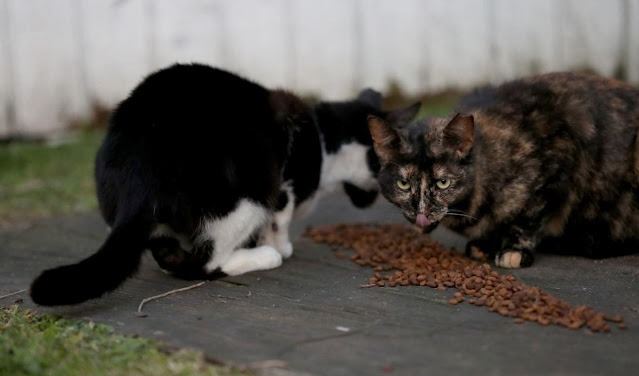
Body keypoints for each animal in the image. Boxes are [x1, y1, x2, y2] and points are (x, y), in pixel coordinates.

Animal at [31, 64, 420, 306]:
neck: (325, 140)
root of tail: (138, 175)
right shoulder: (283, 190)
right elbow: (280, 221)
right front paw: (278, 246)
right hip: (247, 193)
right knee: (205, 264)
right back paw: (263, 256)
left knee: (169, 254)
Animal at [368, 72, 639, 268]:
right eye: (403, 184)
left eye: (443, 183)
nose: (421, 213)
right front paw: (485, 245)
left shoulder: (558, 162)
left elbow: (529, 217)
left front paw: (514, 250)